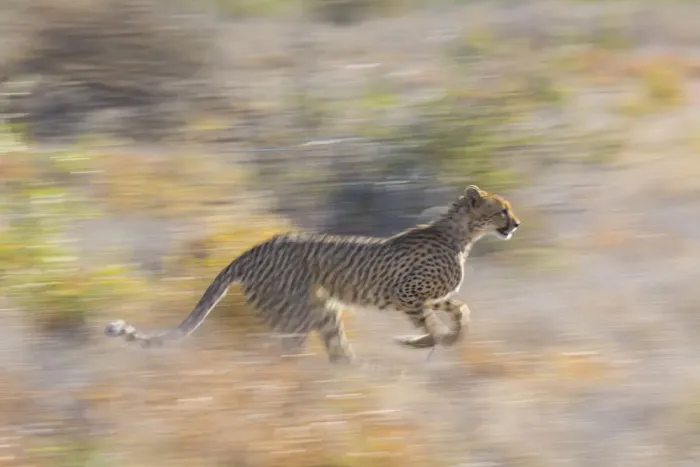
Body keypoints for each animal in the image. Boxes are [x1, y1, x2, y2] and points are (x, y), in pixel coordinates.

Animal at [105, 184, 521, 364]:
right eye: (502, 209)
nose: (515, 223)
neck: (462, 235)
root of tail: (255, 247)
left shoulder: (429, 297)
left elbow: (461, 312)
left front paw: (447, 336)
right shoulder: (405, 294)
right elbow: (433, 329)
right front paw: (418, 342)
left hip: (320, 311)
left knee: (330, 350)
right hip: (298, 313)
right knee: (278, 351)